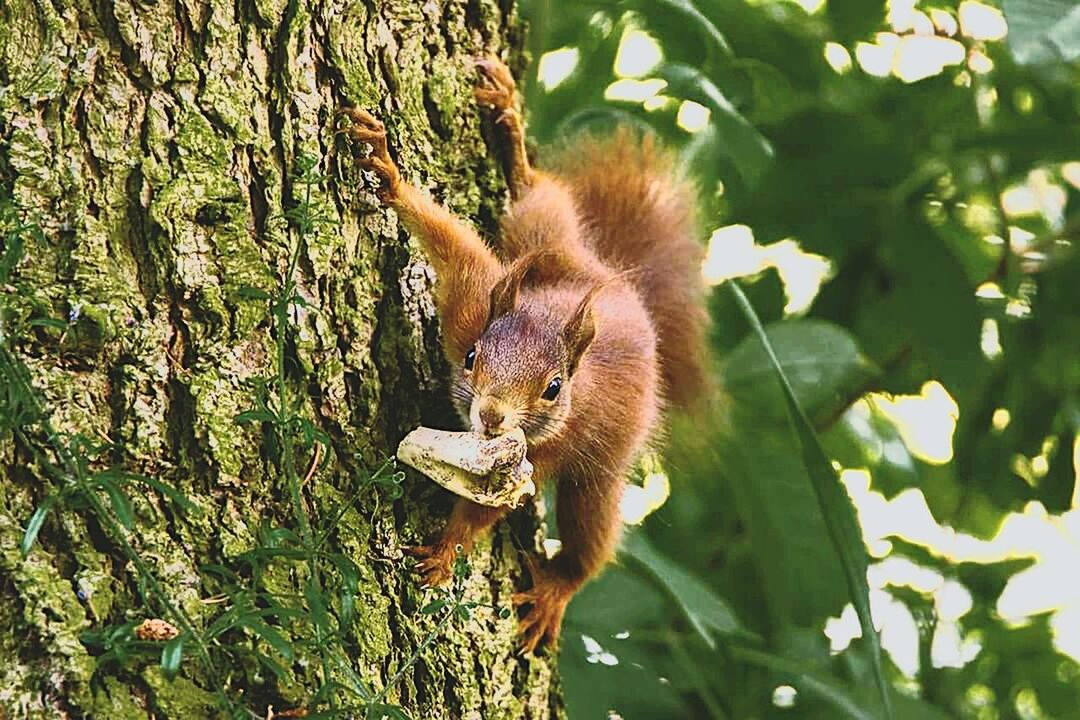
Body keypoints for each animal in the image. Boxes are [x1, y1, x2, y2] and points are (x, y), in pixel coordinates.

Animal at [339, 56, 708, 651]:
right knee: (539, 195)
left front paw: (445, 551)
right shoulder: (472, 307)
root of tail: (622, 285)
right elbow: (453, 246)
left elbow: (483, 511)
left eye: (553, 389)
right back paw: (510, 129)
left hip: (602, 467)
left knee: (591, 534)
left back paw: (557, 591)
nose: (491, 415)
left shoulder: (544, 449)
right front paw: (387, 171)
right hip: (545, 241)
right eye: (472, 358)